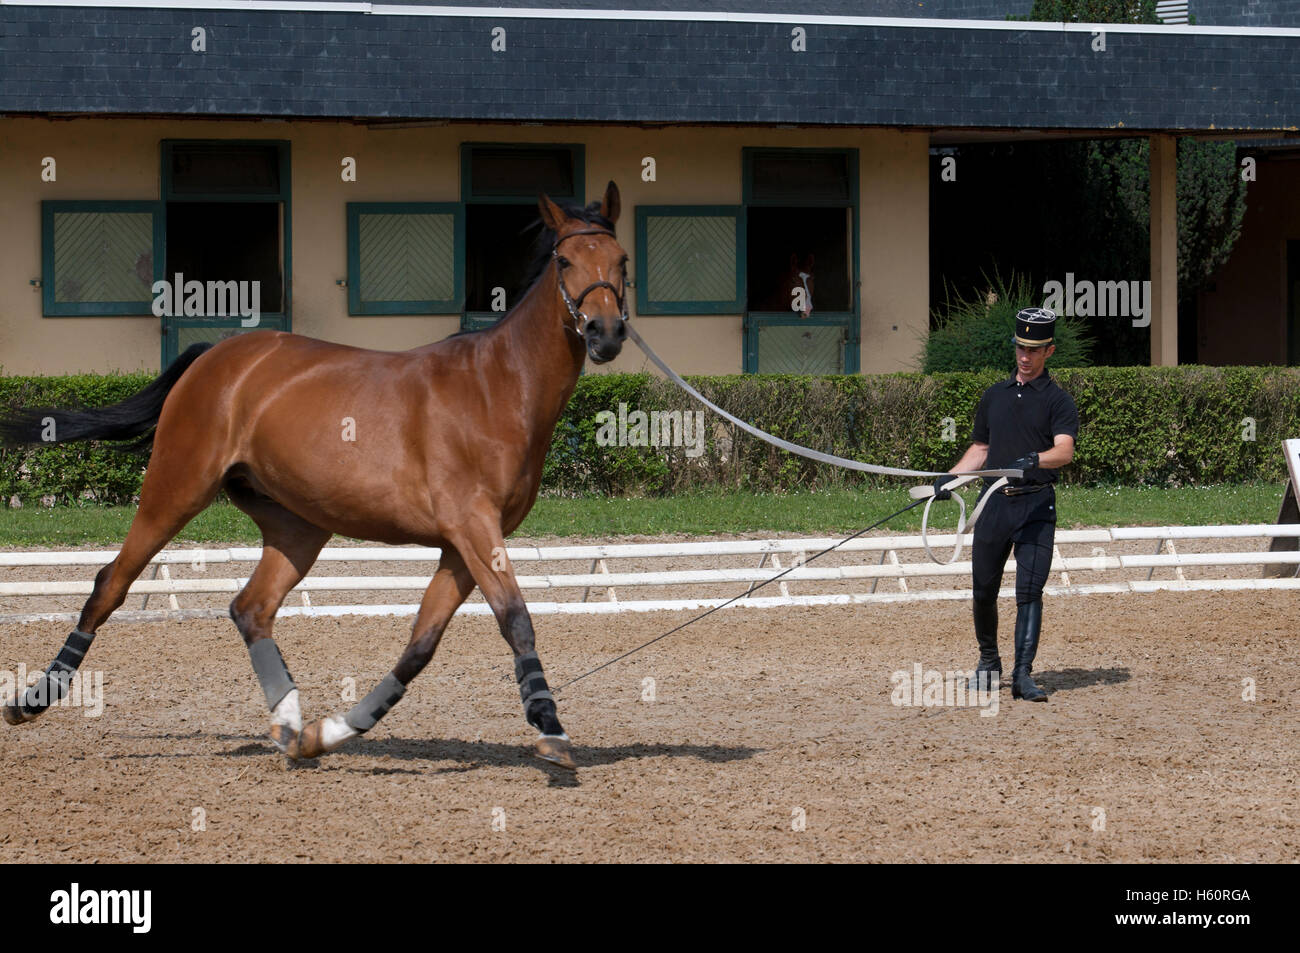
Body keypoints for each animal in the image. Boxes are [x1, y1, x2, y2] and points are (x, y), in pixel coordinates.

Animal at [0, 181, 631, 771]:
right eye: (565, 261)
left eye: (621, 259)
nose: (604, 333)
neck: (498, 384)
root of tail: (218, 357)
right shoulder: (473, 526)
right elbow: (515, 619)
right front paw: (551, 730)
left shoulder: (462, 543)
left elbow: (421, 645)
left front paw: (328, 734)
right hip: (175, 490)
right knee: (111, 583)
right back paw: (31, 701)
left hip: (298, 525)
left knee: (251, 607)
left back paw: (290, 727)